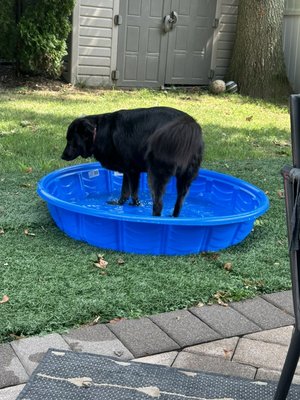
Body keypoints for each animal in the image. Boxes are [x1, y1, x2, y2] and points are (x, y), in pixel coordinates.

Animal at [62, 106, 205, 217]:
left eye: (70, 139)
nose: (62, 156)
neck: (99, 132)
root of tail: (189, 124)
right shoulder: (127, 170)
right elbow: (125, 192)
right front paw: (121, 204)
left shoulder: (132, 171)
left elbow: (133, 193)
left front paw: (134, 205)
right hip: (186, 178)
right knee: (179, 202)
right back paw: (173, 217)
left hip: (156, 174)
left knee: (158, 204)